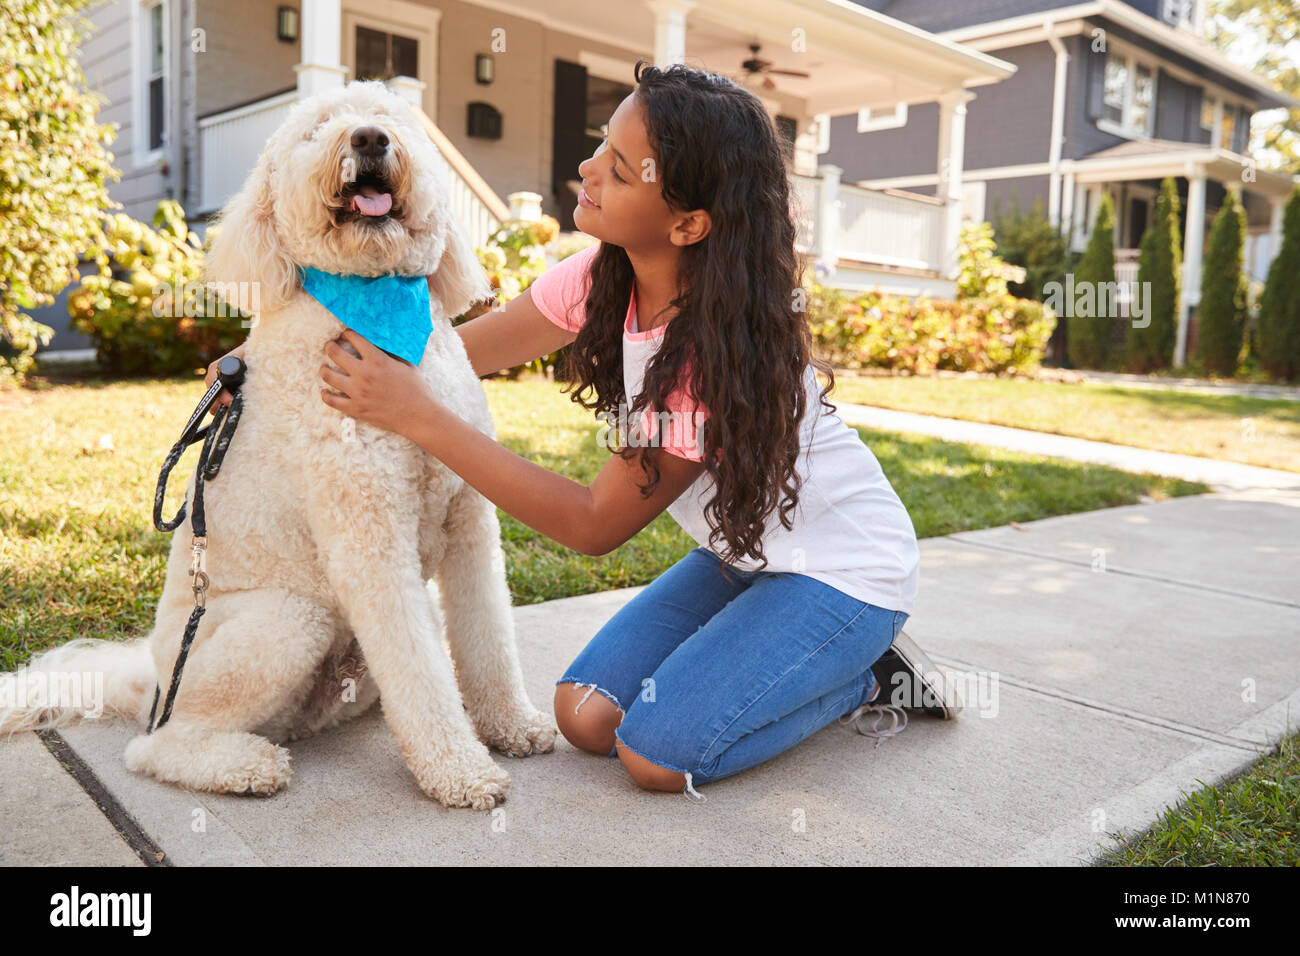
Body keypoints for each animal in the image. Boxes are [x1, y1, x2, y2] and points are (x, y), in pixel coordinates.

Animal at [0, 82, 553, 811]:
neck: (376, 313)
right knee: (156, 748)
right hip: (286, 619)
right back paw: (244, 765)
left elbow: (489, 635)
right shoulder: (368, 536)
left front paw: (510, 725)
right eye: (316, 129)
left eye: (394, 119)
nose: (369, 138)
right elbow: (420, 666)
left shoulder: (468, 519)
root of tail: (150, 684)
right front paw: (459, 769)